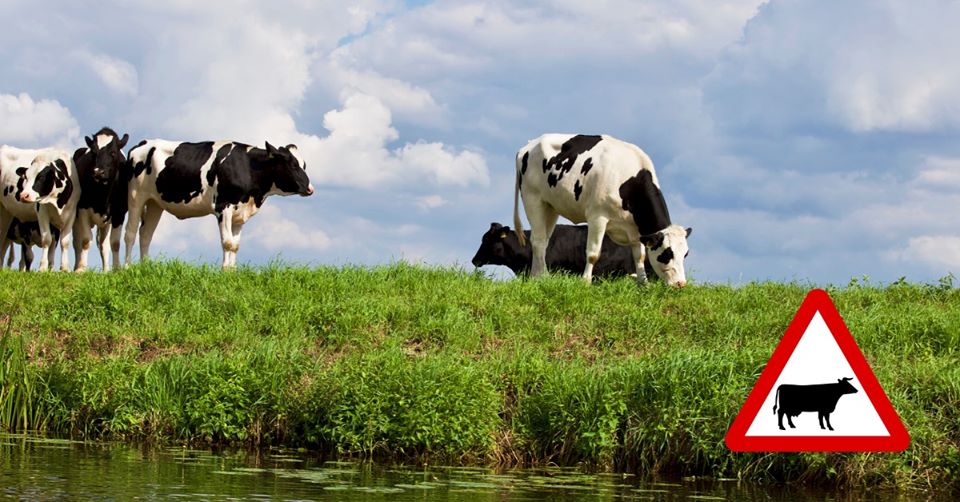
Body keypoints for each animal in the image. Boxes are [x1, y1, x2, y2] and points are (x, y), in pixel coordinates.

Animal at [72, 127, 129, 272]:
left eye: (113, 152)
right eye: (93, 152)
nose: (98, 172)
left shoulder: (119, 213)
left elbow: (114, 243)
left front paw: (115, 269)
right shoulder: (82, 210)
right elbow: (85, 240)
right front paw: (82, 269)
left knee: (103, 244)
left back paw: (105, 270)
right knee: (76, 242)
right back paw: (76, 267)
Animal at [124, 139, 316, 268]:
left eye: (304, 164)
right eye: (292, 164)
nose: (310, 189)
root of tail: (143, 143)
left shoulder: (239, 213)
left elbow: (236, 245)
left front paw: (232, 271)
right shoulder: (223, 206)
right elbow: (227, 242)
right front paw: (224, 271)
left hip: (155, 203)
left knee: (146, 234)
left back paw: (145, 267)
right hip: (135, 197)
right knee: (130, 233)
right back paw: (126, 268)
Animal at [510, 134, 688, 286]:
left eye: (685, 254)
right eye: (667, 253)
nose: (680, 284)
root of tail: (529, 145)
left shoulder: (635, 229)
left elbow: (640, 256)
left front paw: (643, 283)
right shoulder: (597, 217)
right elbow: (593, 254)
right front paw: (585, 282)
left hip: (550, 206)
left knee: (544, 241)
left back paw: (536, 276)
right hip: (533, 198)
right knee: (538, 240)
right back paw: (543, 276)